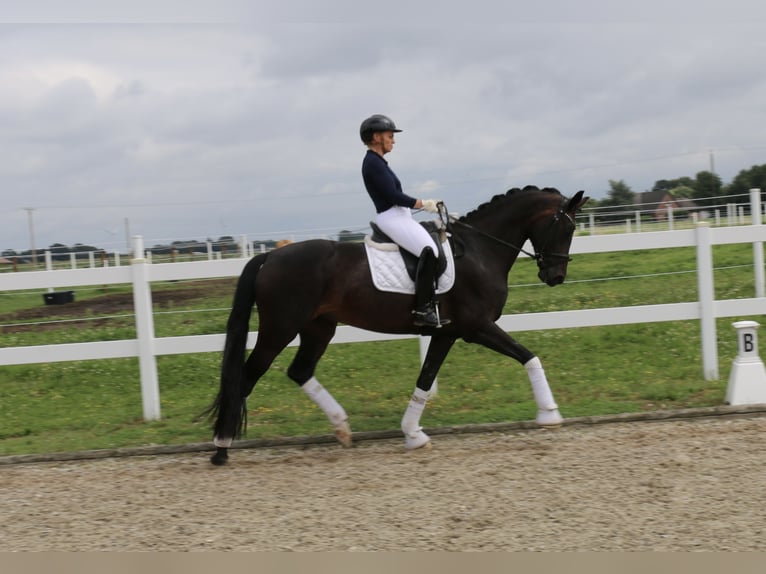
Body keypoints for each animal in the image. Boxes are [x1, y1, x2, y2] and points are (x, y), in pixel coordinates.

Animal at [207, 187, 592, 466]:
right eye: (567, 227)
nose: (555, 276)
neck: (480, 251)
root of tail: (269, 256)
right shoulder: (476, 327)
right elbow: (529, 355)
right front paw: (550, 414)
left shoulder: (446, 333)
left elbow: (426, 378)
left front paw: (413, 434)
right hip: (280, 328)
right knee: (247, 376)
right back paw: (221, 448)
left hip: (318, 327)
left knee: (300, 370)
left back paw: (342, 428)